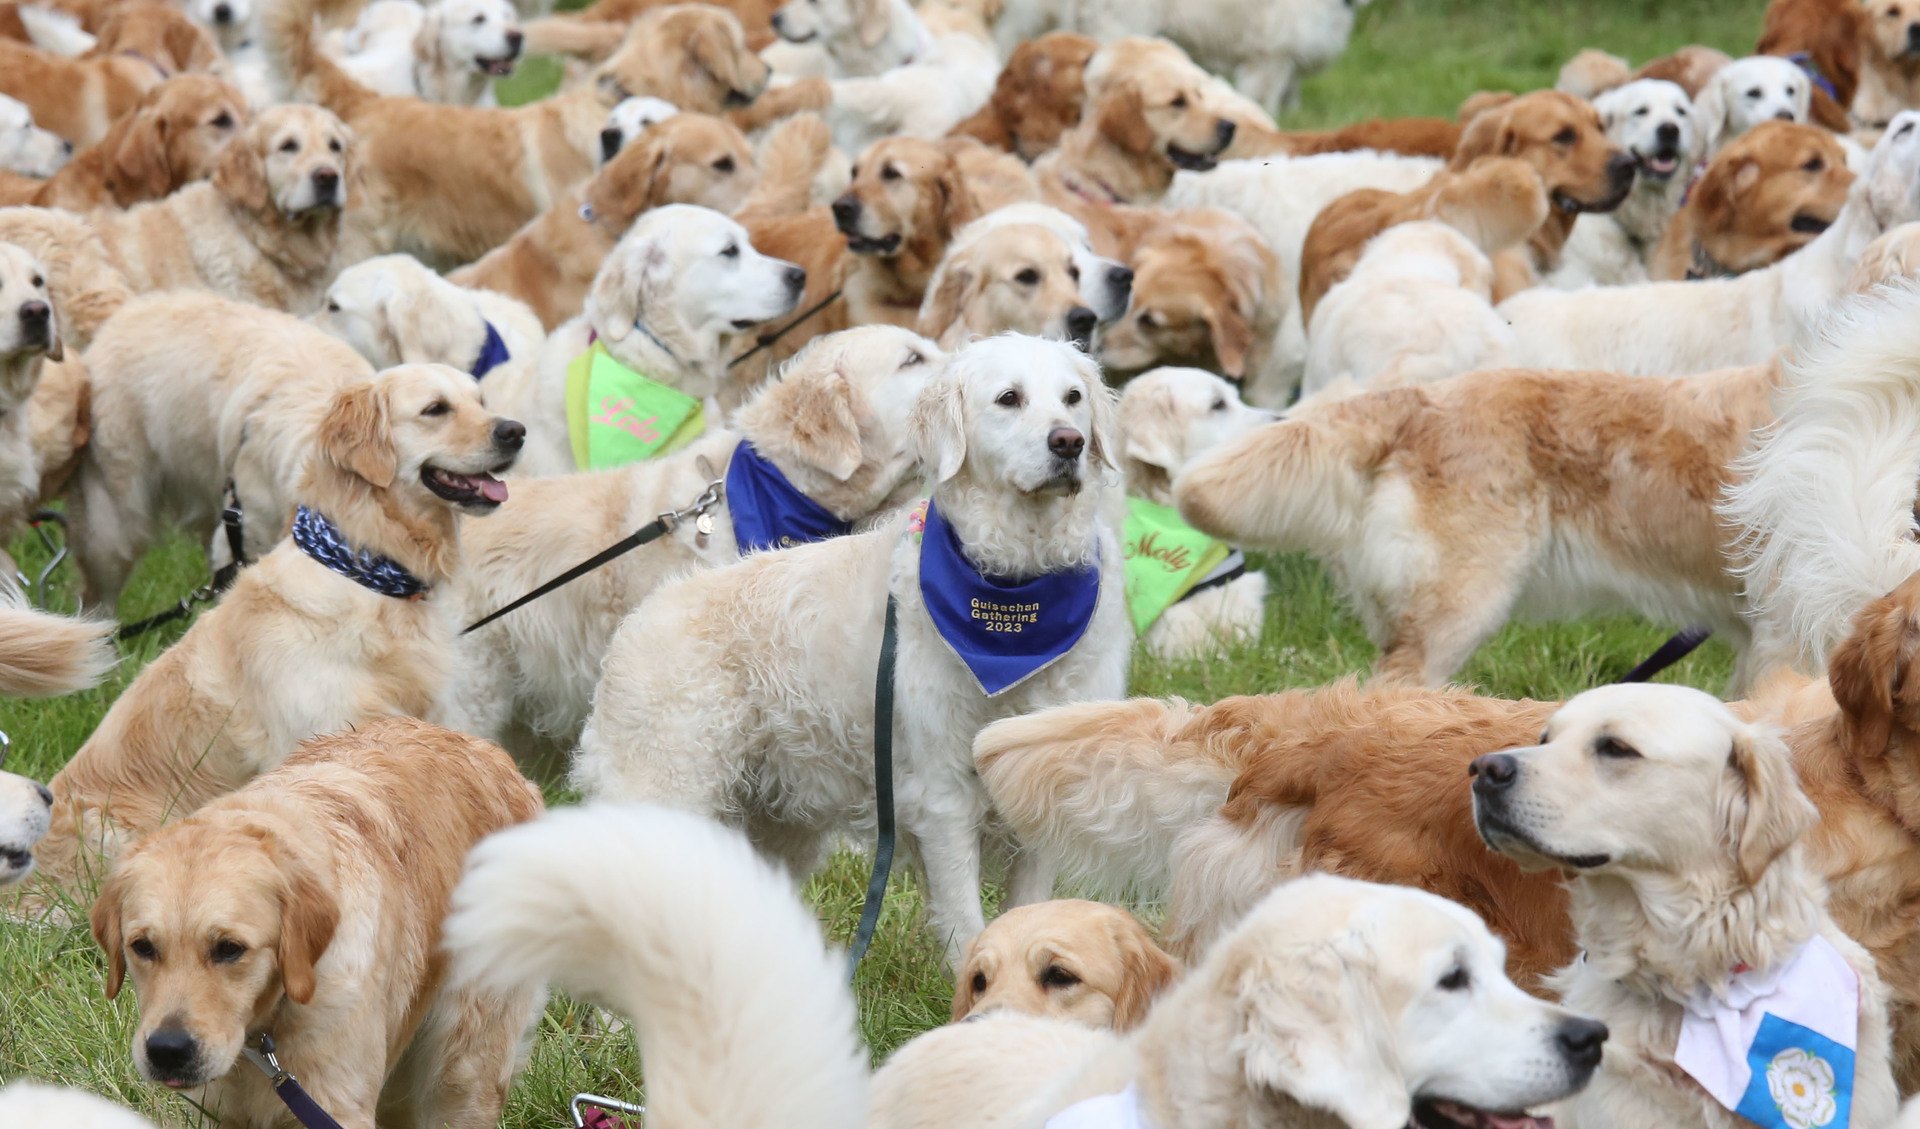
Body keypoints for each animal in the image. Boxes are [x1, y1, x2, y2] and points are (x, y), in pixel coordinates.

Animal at [89, 718, 541, 1121]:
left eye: (229, 949)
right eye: (143, 947)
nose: (167, 1050)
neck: (265, 1030)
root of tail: (490, 752)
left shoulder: (337, 1104)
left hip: (459, 1072)